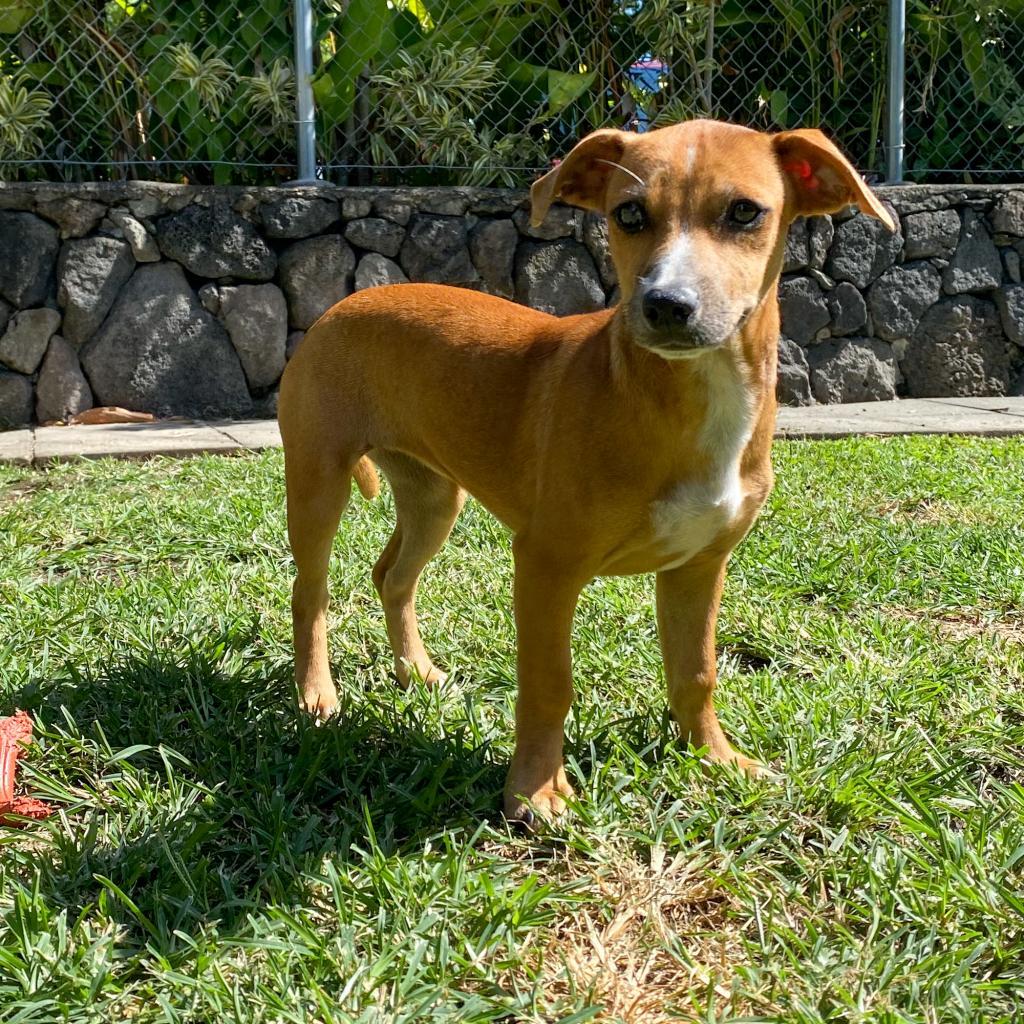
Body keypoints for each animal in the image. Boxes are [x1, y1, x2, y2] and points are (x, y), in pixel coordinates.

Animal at [280, 117, 897, 823]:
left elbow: (697, 673)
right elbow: (549, 683)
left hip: (435, 496)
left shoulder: (699, 565)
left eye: (745, 212)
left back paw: (418, 672)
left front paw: (716, 759)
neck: (681, 397)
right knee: (311, 593)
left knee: (393, 576)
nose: (666, 305)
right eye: (629, 214)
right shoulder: (546, 564)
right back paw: (318, 696)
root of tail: (341, 306)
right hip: (318, 481)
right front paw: (535, 791)